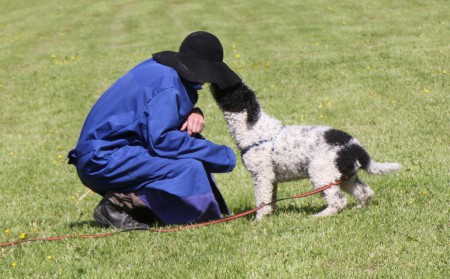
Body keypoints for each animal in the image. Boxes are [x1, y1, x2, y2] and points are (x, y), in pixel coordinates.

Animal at [211, 83, 400, 221]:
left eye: (230, 91)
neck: (254, 128)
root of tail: (354, 146)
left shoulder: (261, 176)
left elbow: (262, 201)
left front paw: (258, 220)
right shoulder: (272, 180)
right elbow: (271, 201)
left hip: (321, 174)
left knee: (338, 201)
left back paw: (319, 216)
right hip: (345, 176)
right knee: (365, 192)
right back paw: (358, 208)